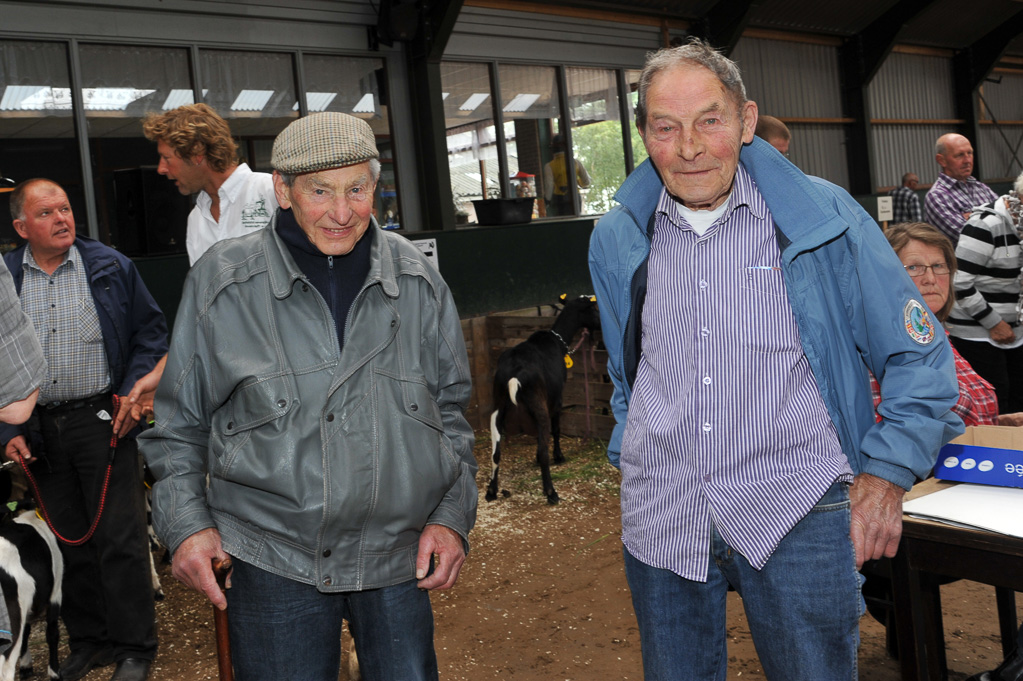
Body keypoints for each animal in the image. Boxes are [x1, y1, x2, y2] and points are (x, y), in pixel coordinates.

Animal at [484, 294, 597, 501]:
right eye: (593, 309)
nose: (600, 322)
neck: (558, 340)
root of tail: (514, 374)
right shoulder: (557, 398)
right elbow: (556, 429)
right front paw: (559, 456)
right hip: (538, 404)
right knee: (544, 447)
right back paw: (551, 492)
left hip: (498, 407)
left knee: (496, 452)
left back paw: (492, 491)